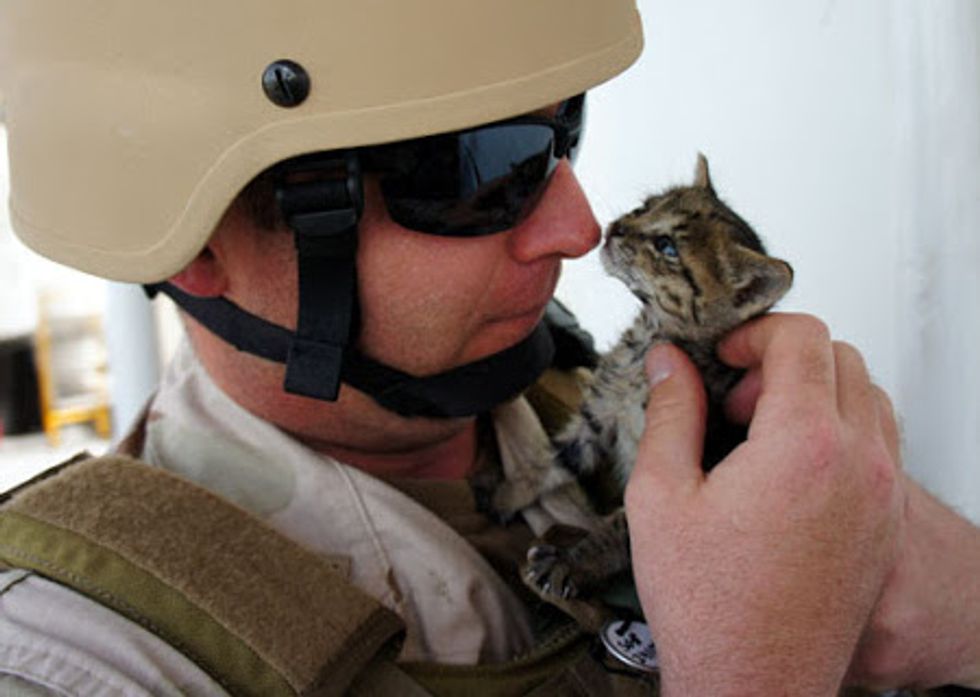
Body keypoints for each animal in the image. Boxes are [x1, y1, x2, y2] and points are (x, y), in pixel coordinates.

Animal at [520, 154, 788, 600]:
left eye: (667, 248)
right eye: (644, 206)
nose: (615, 227)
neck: (645, 343)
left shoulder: (657, 473)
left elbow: (618, 532)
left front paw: (571, 563)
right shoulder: (595, 418)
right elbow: (548, 465)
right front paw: (499, 496)